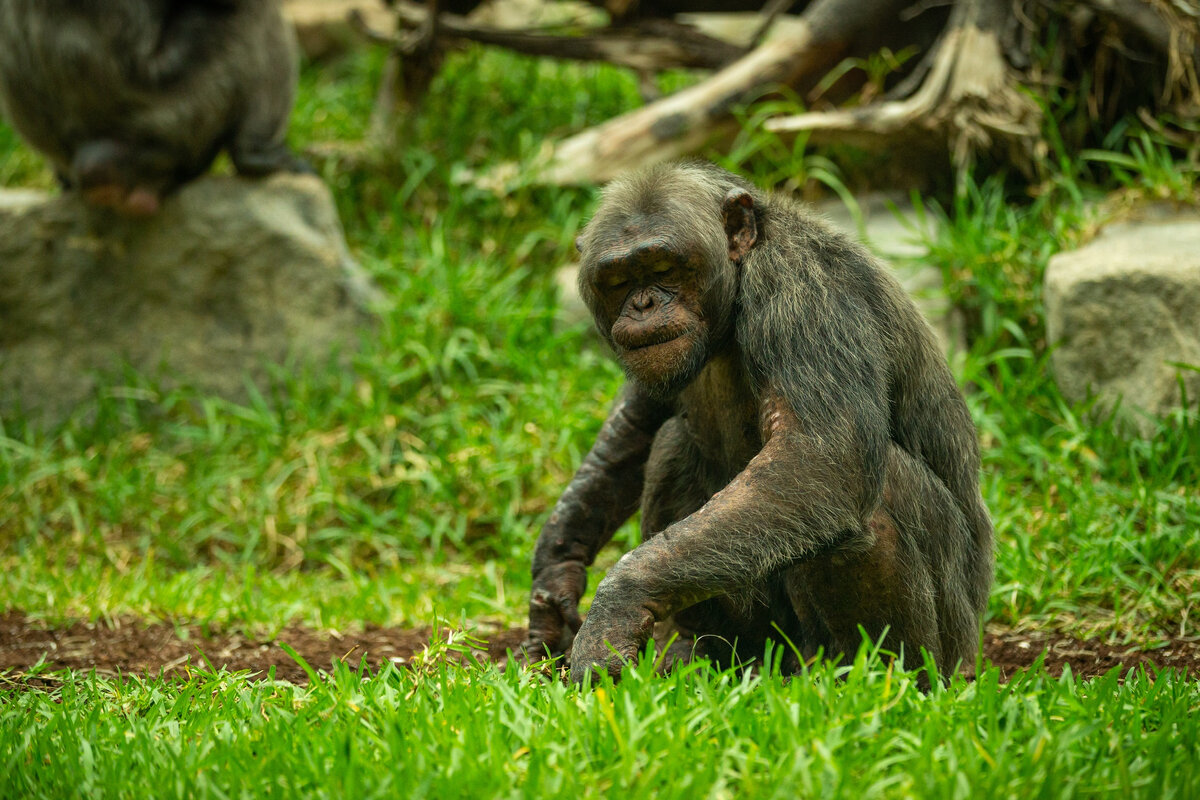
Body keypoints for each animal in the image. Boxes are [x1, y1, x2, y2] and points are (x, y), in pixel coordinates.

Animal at [525, 160, 993, 681]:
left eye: (663, 268)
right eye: (619, 279)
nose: (644, 304)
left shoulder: (806, 294)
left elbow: (823, 458)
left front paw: (616, 607)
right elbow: (634, 427)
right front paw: (555, 576)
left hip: (945, 642)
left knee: (878, 494)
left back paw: (882, 680)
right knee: (671, 447)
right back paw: (719, 658)